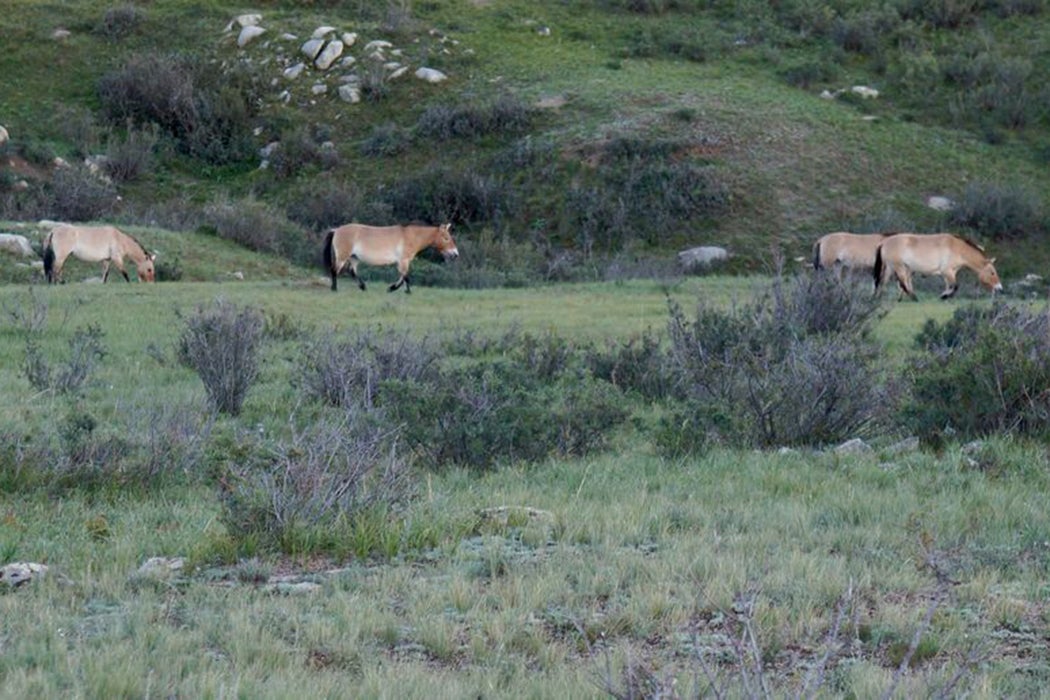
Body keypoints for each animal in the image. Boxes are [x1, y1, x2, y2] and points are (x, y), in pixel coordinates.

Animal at [321, 221, 457, 293]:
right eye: (446, 238)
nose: (455, 254)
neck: (411, 237)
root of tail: (336, 230)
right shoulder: (403, 260)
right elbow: (406, 277)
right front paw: (404, 291)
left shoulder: (402, 262)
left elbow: (403, 276)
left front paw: (393, 288)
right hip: (342, 257)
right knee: (334, 270)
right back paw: (334, 288)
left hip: (354, 258)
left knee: (352, 271)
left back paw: (363, 287)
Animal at [869, 235, 999, 302]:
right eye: (992, 273)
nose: (999, 288)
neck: (958, 248)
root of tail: (884, 242)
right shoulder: (947, 271)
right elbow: (955, 286)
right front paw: (944, 296)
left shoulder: (950, 273)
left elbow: (950, 285)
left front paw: (945, 296)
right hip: (899, 267)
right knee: (902, 283)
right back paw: (914, 298)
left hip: (891, 267)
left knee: (884, 281)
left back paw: (880, 297)